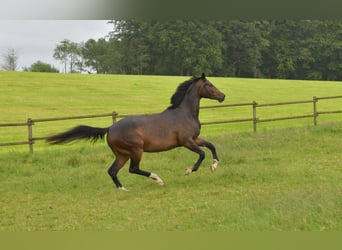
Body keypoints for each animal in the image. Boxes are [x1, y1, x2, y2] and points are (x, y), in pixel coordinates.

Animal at [46, 73, 226, 190]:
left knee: (112, 170)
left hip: (122, 154)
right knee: (133, 169)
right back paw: (158, 179)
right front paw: (189, 170)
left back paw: (123, 189)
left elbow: (211, 146)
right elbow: (202, 153)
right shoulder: (186, 141)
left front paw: (214, 165)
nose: (223, 96)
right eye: (209, 85)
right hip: (136, 150)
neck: (185, 113)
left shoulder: (195, 139)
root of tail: (110, 128)